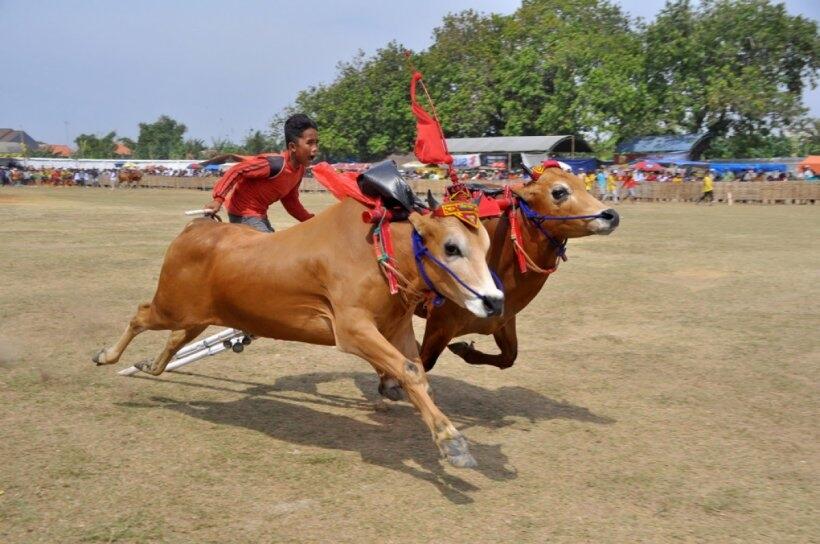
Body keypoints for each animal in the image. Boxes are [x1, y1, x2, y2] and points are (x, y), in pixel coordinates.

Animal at [96, 198, 506, 466]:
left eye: (486, 245)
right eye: (452, 247)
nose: (494, 301)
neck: (382, 254)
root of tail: (195, 227)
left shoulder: (397, 326)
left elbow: (415, 372)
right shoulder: (351, 330)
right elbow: (408, 371)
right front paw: (452, 442)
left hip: (197, 316)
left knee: (173, 340)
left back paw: (151, 366)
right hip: (170, 306)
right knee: (140, 315)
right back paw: (108, 356)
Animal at [414, 168, 620, 376]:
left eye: (583, 185)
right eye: (559, 192)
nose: (612, 215)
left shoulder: (504, 321)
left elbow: (509, 357)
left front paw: (464, 350)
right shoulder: (439, 324)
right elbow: (422, 363)